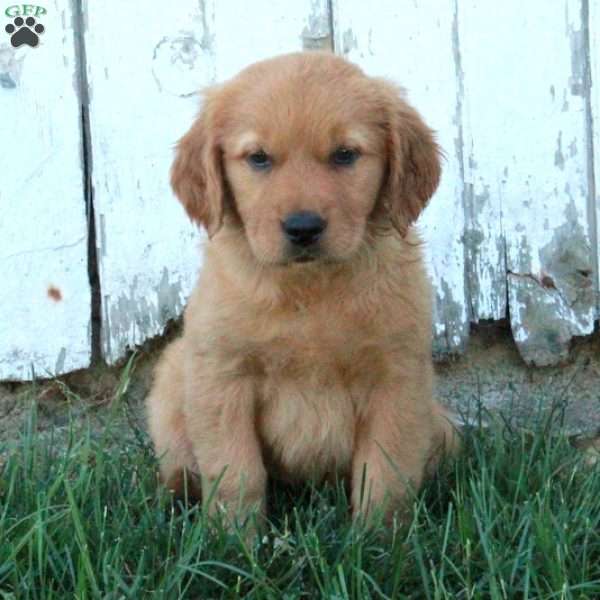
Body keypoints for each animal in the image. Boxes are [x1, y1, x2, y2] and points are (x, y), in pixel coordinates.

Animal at [148, 49, 458, 524]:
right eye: (258, 158)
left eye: (346, 155)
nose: (303, 228)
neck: (309, 288)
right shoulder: (222, 375)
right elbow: (237, 474)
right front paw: (233, 538)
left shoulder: (397, 379)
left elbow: (385, 476)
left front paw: (380, 539)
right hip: (172, 379)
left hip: (442, 427)